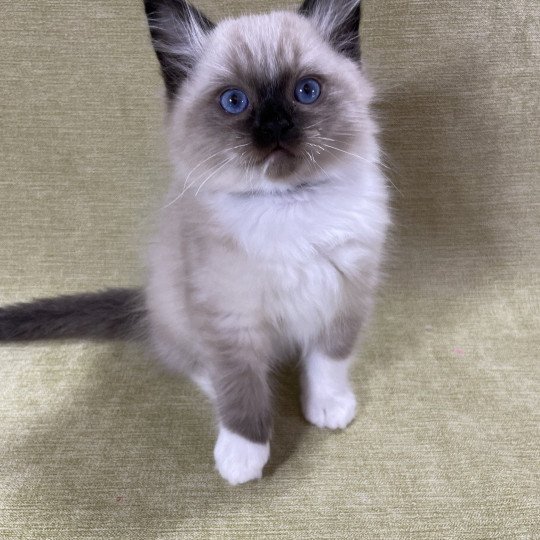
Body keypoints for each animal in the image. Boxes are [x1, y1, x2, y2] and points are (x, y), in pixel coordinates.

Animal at [0, 0, 390, 486]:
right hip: (177, 305)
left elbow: (329, 362)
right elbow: (240, 385)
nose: (275, 125)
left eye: (307, 91)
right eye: (234, 101)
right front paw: (243, 455)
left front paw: (328, 407)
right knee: (192, 360)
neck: (285, 205)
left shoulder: (345, 293)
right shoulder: (228, 315)